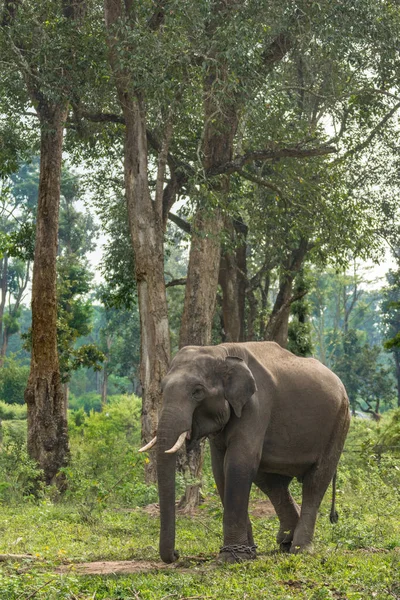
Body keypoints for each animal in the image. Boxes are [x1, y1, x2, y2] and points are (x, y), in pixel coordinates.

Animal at [140, 342, 350, 564]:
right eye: (162, 389)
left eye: (197, 391)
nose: (177, 553)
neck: (221, 352)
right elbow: (220, 470)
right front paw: (246, 554)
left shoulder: (256, 407)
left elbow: (237, 464)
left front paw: (232, 558)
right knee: (272, 482)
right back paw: (285, 542)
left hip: (339, 423)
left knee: (316, 481)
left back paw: (300, 550)